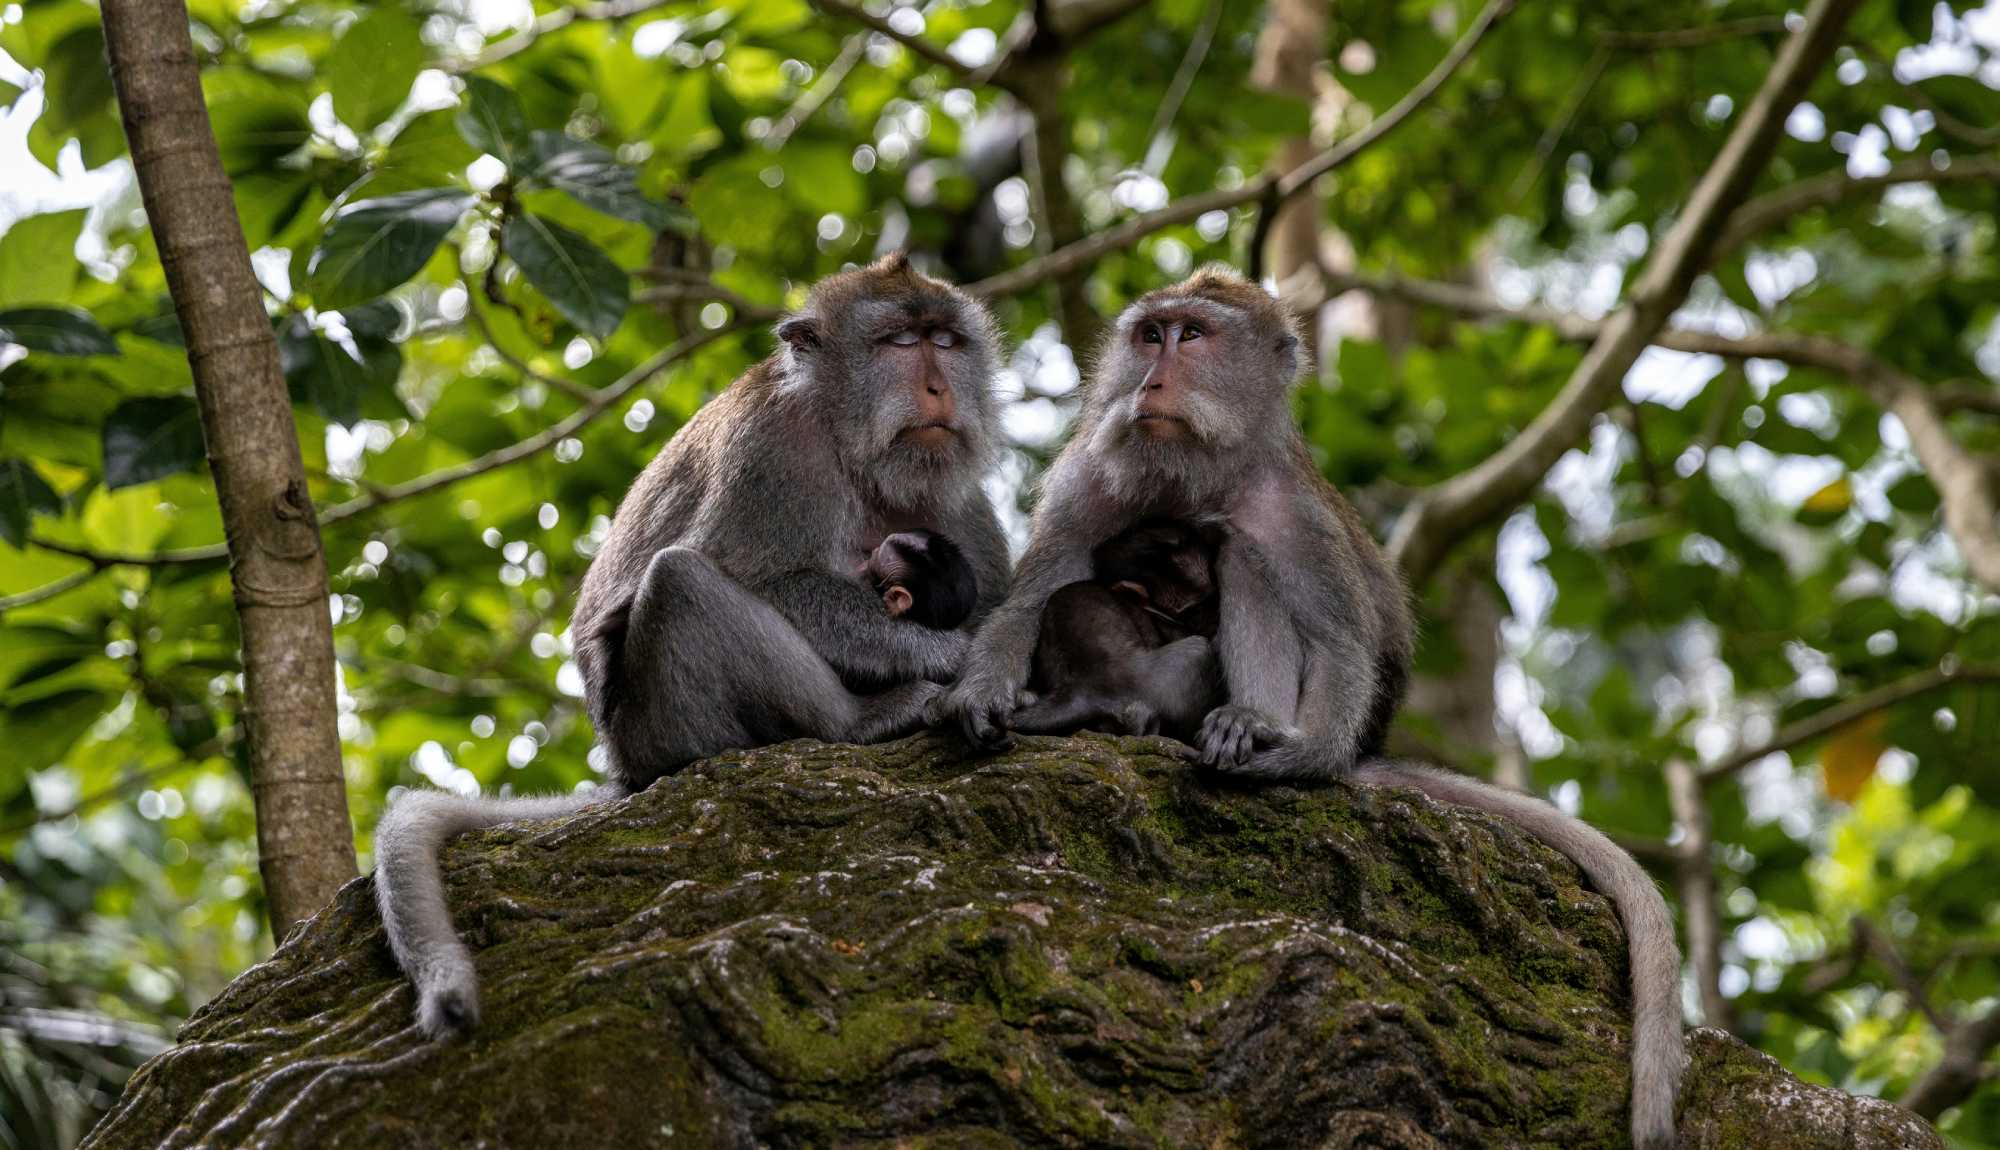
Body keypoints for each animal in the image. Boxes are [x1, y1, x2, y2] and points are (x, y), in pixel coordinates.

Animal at [375, 254, 1010, 1040]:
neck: (845, 437)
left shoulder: (954, 494)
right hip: (661, 727)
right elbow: (763, 576)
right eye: (898, 342)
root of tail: (626, 767)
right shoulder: (774, 455)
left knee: (681, 585)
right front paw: (952, 657)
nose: (937, 386)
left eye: (946, 342)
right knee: (683, 580)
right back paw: (862, 721)